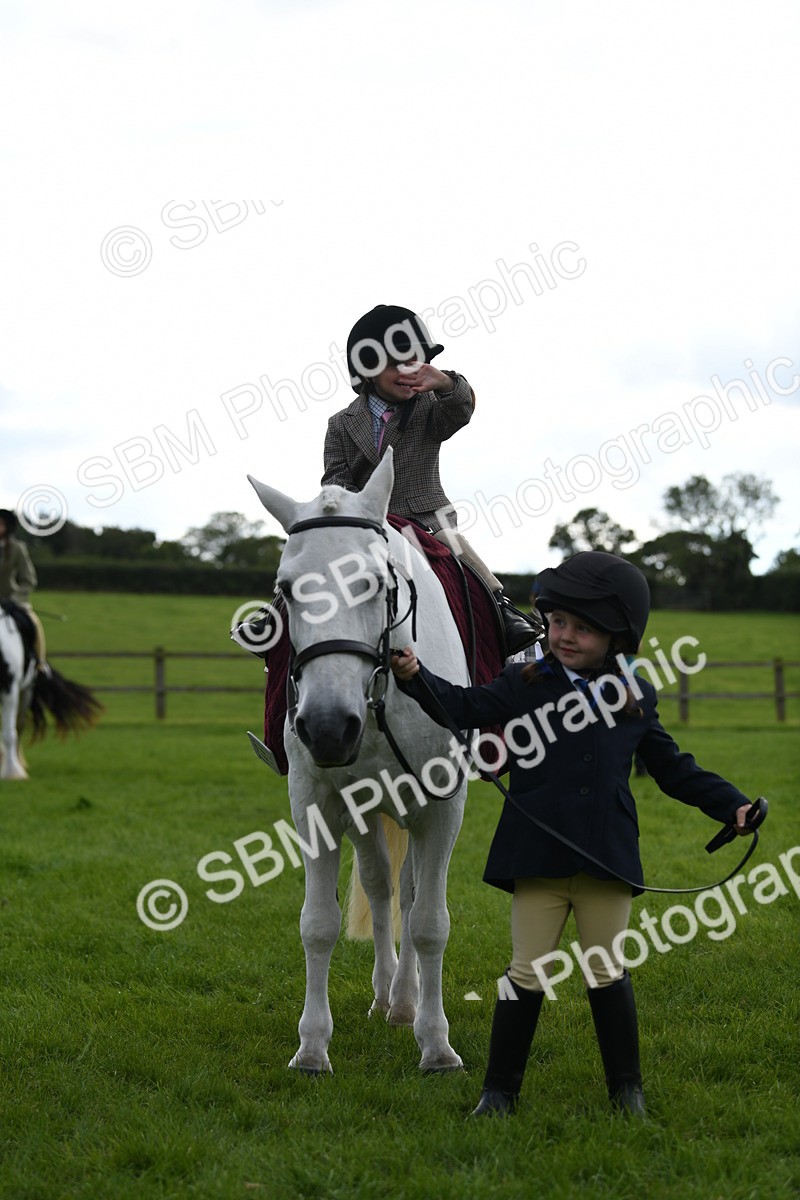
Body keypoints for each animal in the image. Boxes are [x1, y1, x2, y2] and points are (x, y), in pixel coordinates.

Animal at [0, 602, 103, 779]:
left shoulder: (10, 688)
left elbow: (10, 733)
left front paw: (13, 772)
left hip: (26, 691)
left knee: (18, 725)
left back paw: (17, 764)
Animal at [248, 448, 470, 1075]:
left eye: (372, 581)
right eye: (286, 587)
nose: (326, 727)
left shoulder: (442, 809)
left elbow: (430, 924)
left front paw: (436, 1045)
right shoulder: (317, 804)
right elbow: (318, 924)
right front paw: (312, 1046)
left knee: (412, 895)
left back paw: (407, 1003)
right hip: (366, 812)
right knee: (380, 886)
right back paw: (387, 996)